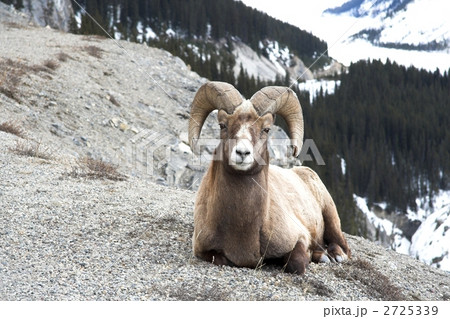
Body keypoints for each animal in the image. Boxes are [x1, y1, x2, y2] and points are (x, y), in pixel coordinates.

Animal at [188, 81, 350, 274]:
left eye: (266, 129)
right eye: (222, 125)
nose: (242, 153)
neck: (243, 226)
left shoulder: (299, 237)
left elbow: (296, 263)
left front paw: (314, 255)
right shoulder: (203, 250)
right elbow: (220, 259)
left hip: (330, 214)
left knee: (342, 246)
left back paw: (333, 256)